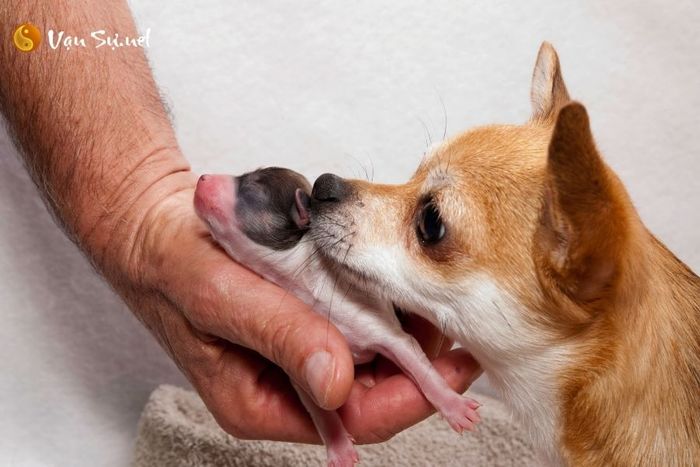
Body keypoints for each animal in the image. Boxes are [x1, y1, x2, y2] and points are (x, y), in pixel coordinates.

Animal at [193, 169, 481, 466]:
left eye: (252, 186)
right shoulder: (303, 374)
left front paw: (453, 405)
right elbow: (320, 407)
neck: (306, 284)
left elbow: (417, 362)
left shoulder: (379, 325)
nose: (202, 178)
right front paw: (338, 444)